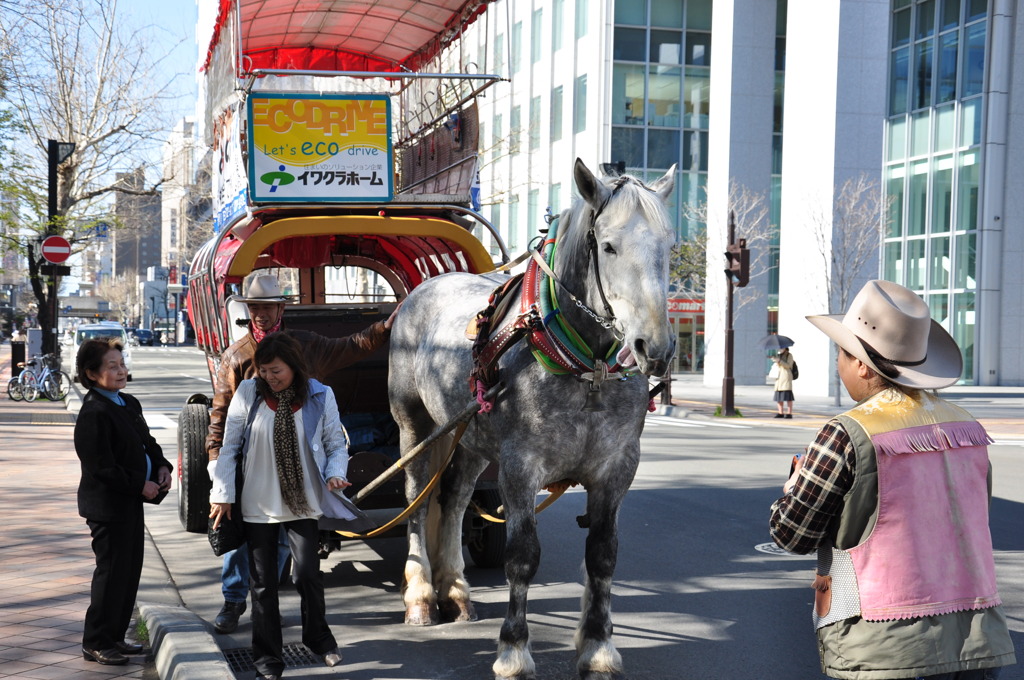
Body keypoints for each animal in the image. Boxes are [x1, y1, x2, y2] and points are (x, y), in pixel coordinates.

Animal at [387, 159, 675, 680]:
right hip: (415, 426)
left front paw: (598, 646)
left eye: (669, 246)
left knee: (455, 500)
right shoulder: (521, 467)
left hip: (471, 436)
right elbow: (522, 558)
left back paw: (455, 588)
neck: (587, 368)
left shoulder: (617, 468)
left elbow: (603, 556)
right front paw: (514, 650)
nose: (655, 348)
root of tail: (426, 286)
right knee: (417, 502)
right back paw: (420, 595)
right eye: (608, 246)